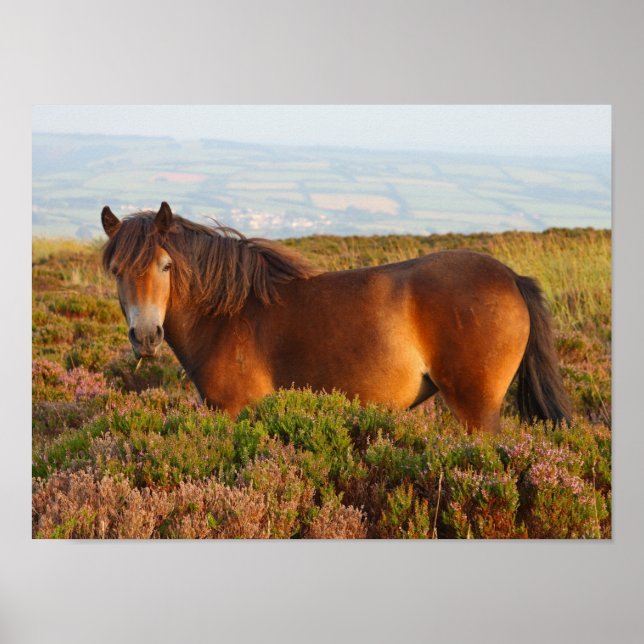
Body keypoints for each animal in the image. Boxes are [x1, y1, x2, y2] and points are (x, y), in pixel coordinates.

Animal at [100, 202, 571, 432]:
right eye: (117, 270)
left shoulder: (236, 411)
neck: (229, 315)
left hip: (478, 410)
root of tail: (511, 277)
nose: (146, 336)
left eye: (166, 266)